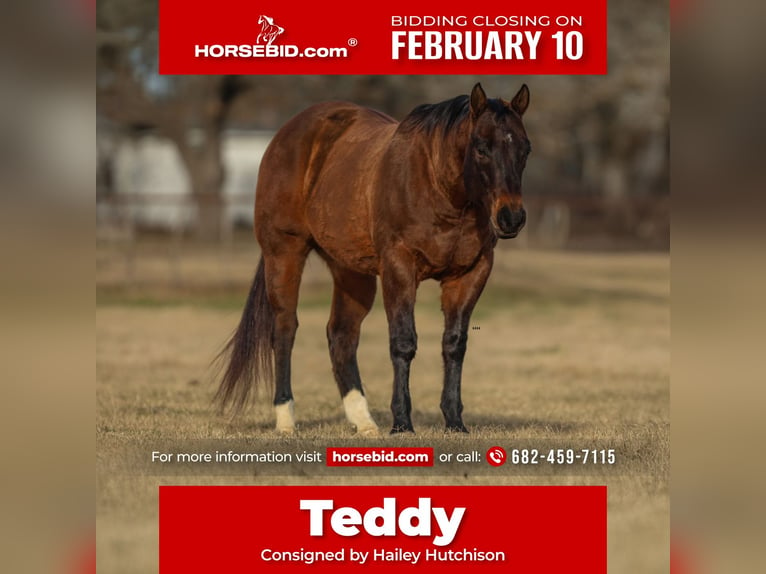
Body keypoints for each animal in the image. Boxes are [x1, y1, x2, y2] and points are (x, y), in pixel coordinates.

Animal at [213, 82, 532, 436]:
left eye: (525, 149)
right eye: (481, 148)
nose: (511, 217)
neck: (438, 186)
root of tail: (286, 134)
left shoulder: (470, 274)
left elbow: (454, 344)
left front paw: (454, 421)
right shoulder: (399, 268)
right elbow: (403, 342)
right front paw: (402, 422)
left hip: (351, 272)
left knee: (342, 335)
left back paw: (364, 421)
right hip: (284, 254)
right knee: (284, 329)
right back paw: (285, 419)